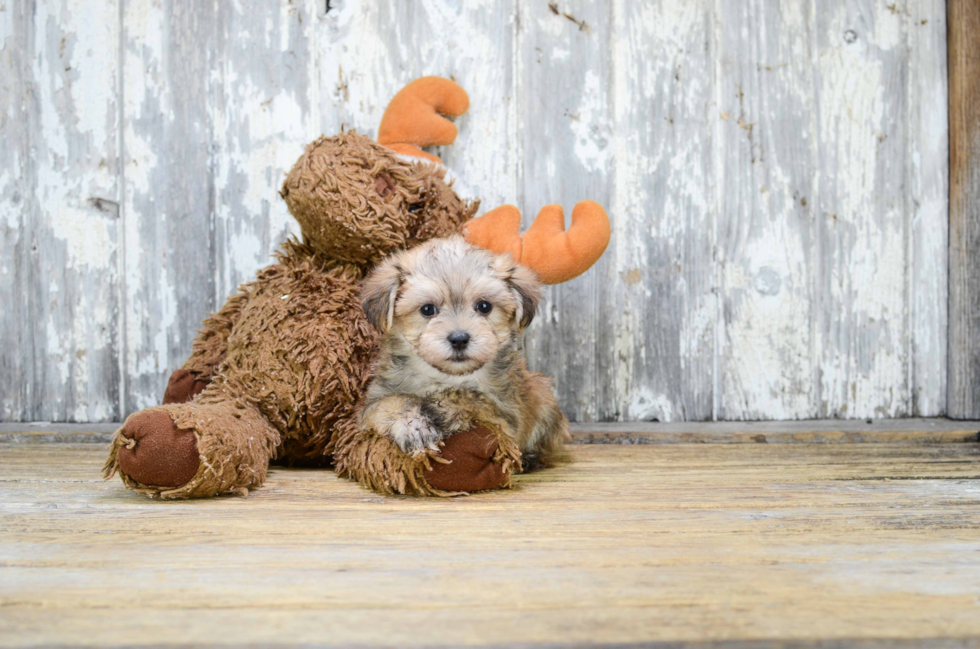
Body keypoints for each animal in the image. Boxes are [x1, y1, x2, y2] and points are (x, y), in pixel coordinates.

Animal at [356, 235, 572, 468]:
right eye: (427, 309)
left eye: (484, 306)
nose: (459, 339)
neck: (447, 376)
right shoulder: (372, 404)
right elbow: (389, 403)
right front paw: (413, 425)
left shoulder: (506, 418)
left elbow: (478, 401)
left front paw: (442, 405)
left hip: (544, 398)